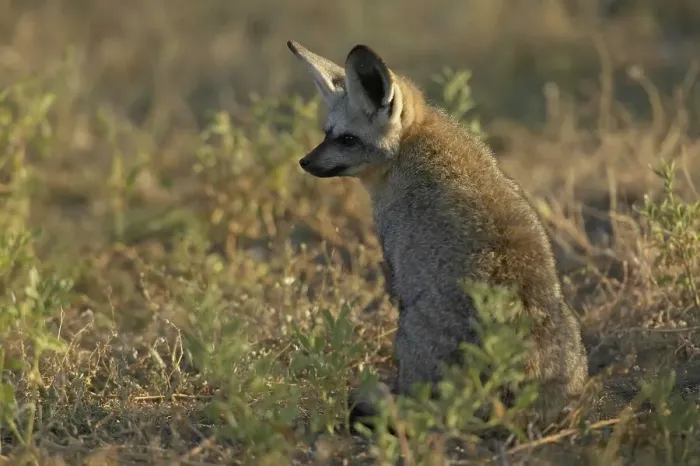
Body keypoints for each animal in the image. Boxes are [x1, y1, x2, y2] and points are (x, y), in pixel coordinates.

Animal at [286, 40, 589, 431]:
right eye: (327, 133)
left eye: (348, 139)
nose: (304, 162)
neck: (415, 146)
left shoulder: (397, 266)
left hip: (409, 331)